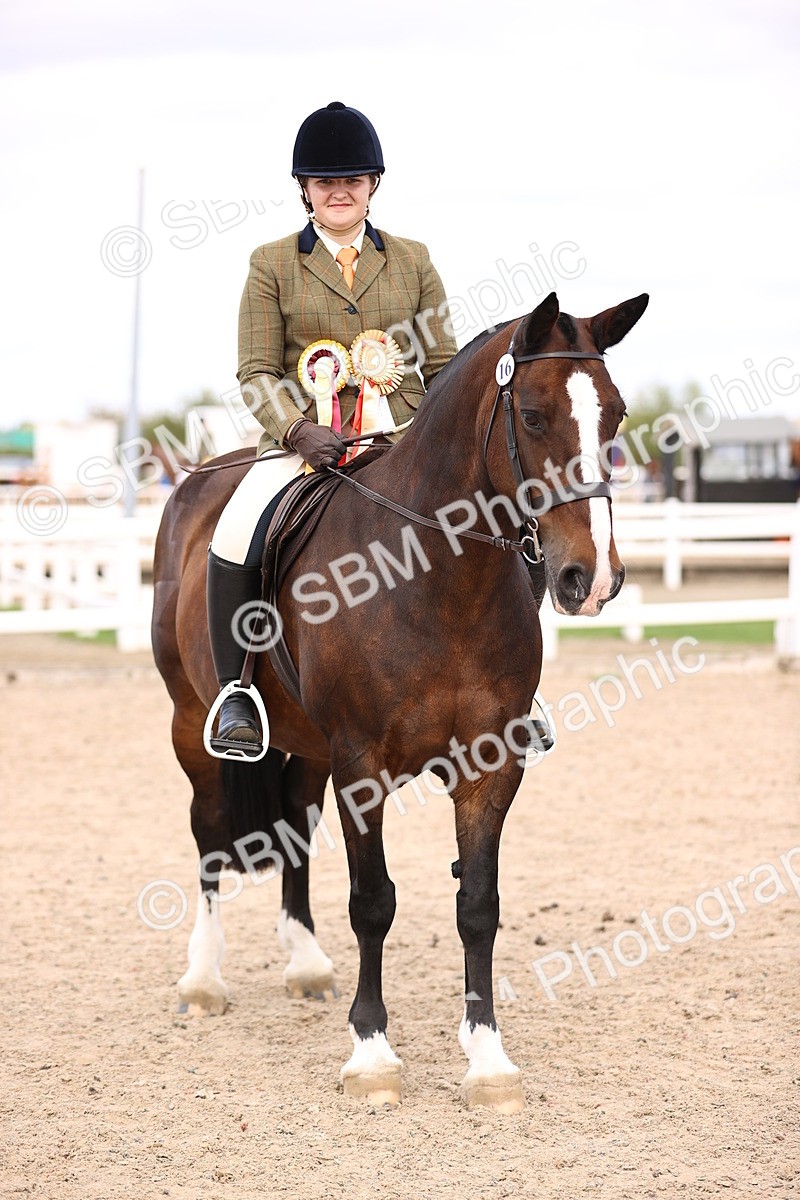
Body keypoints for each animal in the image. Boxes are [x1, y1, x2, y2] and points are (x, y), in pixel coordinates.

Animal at [151, 289, 648, 1112]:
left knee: (294, 823)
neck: (438, 579)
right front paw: (373, 1054)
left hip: (306, 745)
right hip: (192, 724)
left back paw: (305, 963)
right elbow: (373, 902)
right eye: (534, 415)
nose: (592, 578)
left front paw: (488, 1061)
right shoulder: (362, 766)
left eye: (615, 414)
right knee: (210, 833)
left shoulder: (489, 765)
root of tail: (200, 478)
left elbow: (477, 903)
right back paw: (201, 978)